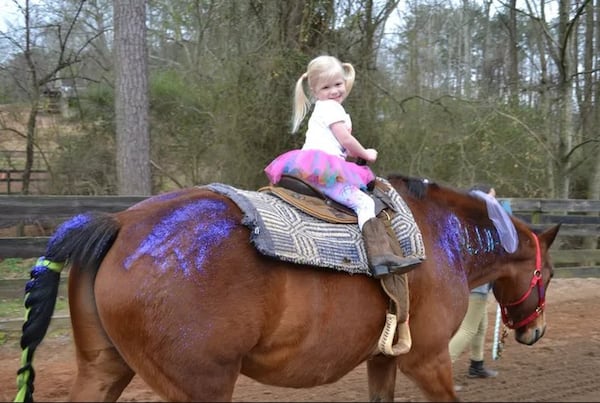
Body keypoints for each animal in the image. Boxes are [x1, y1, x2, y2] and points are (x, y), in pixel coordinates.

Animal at [12, 177, 556, 403]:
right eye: (547, 275)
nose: (535, 332)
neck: (441, 236)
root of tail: (119, 224)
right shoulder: (427, 359)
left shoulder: (384, 359)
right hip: (201, 387)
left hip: (102, 369)